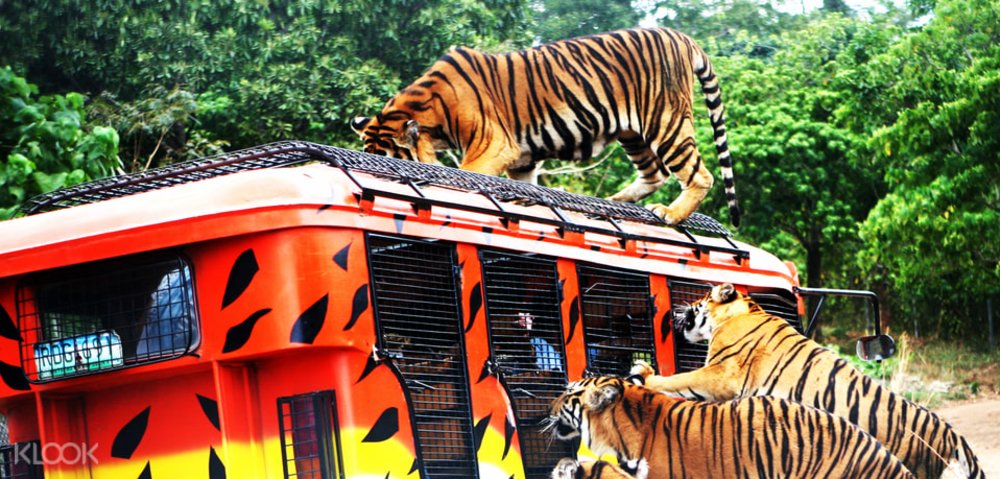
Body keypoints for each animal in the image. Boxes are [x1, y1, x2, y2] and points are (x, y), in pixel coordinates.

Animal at [351, 27, 741, 227]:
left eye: (388, 163)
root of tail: (682, 36)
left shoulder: (494, 146)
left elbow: (466, 175)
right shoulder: (522, 160)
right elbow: (524, 189)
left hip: (664, 119)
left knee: (699, 174)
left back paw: (670, 213)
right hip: (633, 132)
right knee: (654, 173)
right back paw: (607, 203)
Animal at [630, 283, 985, 479]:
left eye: (701, 296)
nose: (676, 308)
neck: (743, 311)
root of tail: (952, 434)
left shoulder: (723, 373)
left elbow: (679, 380)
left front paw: (645, 376)